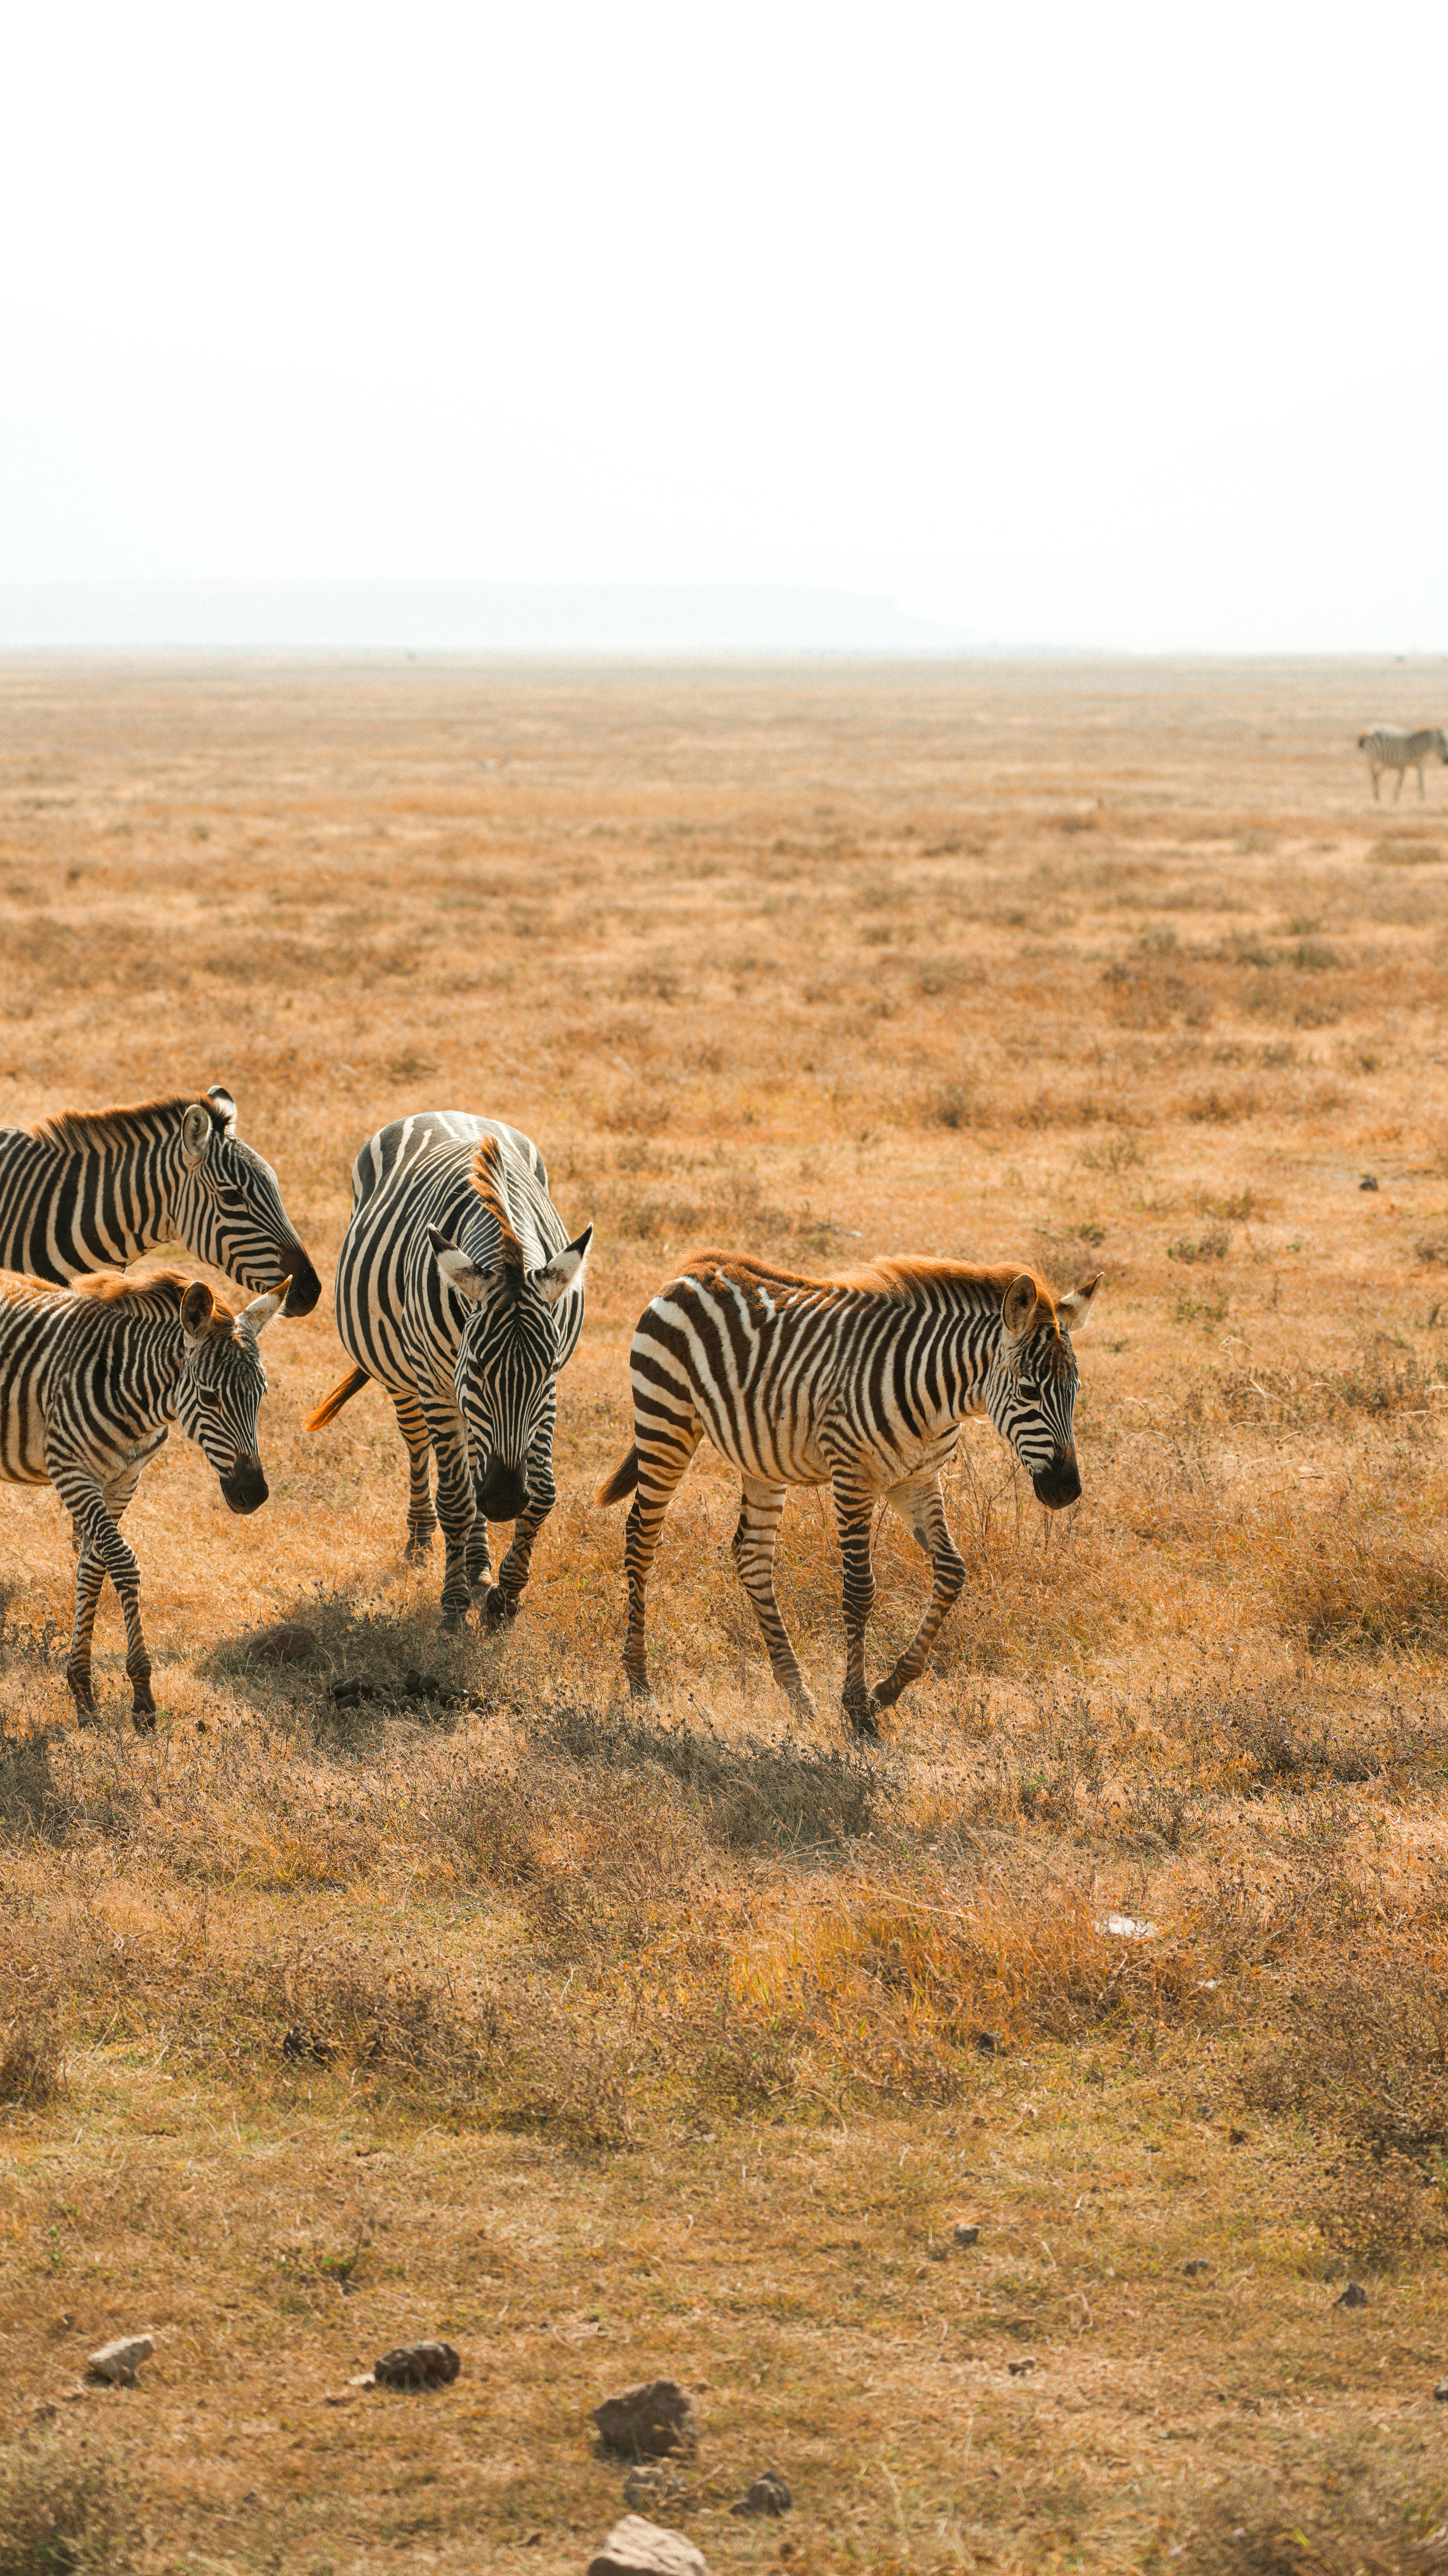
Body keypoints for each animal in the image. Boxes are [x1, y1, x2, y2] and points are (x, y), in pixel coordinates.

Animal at [0, 1268, 288, 1726]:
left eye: (261, 1394)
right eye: (209, 1397)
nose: (254, 1495)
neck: (132, 1393)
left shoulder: (124, 1480)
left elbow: (92, 1568)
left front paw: (83, 1692)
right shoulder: (70, 1470)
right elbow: (122, 1561)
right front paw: (142, 1696)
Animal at [306, 1113, 592, 1631]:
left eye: (547, 1368)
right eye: (477, 1364)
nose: (504, 1500)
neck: (508, 1249)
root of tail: (441, 1112)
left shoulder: (546, 1395)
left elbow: (543, 1492)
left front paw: (505, 1597)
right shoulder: (442, 1389)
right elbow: (457, 1499)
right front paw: (454, 1608)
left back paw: (479, 1567)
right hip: (407, 1378)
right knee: (422, 1451)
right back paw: (421, 1542)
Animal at [595, 1252, 1101, 1738]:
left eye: (1076, 1390)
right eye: (1029, 1391)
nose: (1066, 1490)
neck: (939, 1398)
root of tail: (693, 1268)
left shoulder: (916, 1481)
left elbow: (952, 1572)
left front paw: (887, 1689)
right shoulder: (852, 1475)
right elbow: (860, 1591)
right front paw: (858, 1711)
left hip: (759, 1453)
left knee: (752, 1555)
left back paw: (797, 1692)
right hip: (666, 1419)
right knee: (641, 1537)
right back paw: (639, 1681)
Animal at [1357, 726, 1448, 802]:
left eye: (1447, 744)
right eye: (1440, 744)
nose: (1447, 762)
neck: (1420, 751)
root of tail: (1370, 729)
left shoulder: (1420, 766)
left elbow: (1421, 781)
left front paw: (1423, 799)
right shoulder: (1402, 764)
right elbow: (1401, 782)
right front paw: (1396, 798)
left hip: (1384, 762)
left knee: (1377, 775)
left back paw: (1378, 796)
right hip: (1372, 758)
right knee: (1373, 775)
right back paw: (1376, 797)